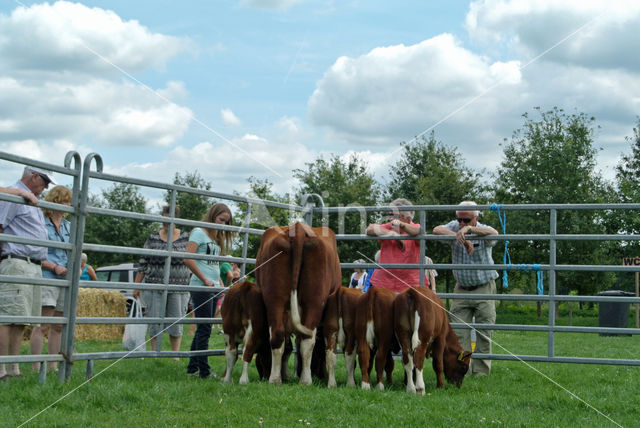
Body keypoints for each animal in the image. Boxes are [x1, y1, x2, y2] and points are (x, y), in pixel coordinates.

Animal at [256, 222, 342, 386]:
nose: (262, 374)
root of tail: (299, 229)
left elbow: (289, 346)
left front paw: (286, 375)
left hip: (274, 300)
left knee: (278, 336)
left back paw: (275, 379)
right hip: (314, 301)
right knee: (308, 339)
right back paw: (305, 380)